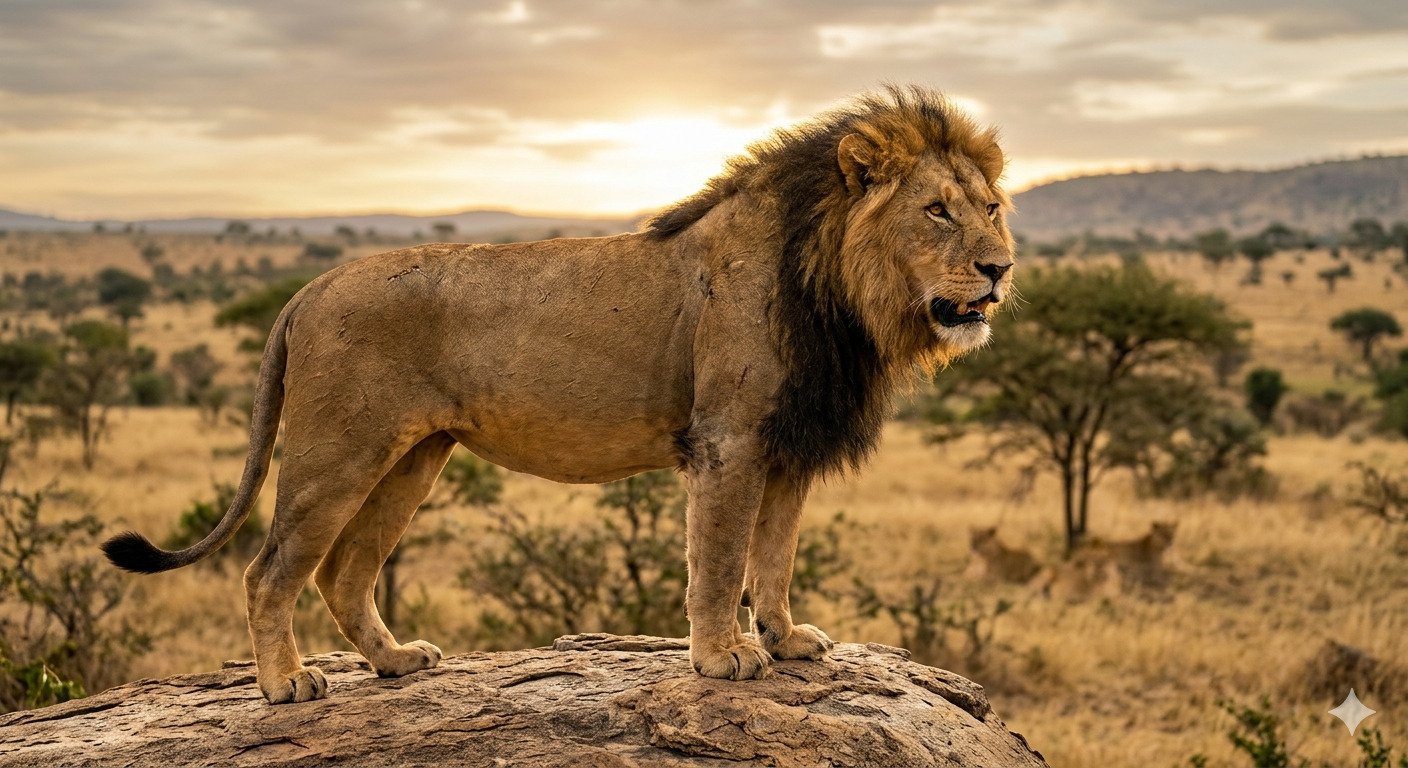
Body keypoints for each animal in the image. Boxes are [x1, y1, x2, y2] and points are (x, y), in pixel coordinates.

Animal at [102, 86, 1016, 704]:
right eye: (937, 211)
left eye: (992, 207)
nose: (1001, 269)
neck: (839, 291)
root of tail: (311, 286)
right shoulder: (728, 440)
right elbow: (722, 559)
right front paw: (722, 657)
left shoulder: (788, 445)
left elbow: (775, 557)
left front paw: (788, 641)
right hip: (339, 451)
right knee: (271, 570)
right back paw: (285, 684)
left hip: (413, 457)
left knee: (344, 571)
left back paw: (394, 662)